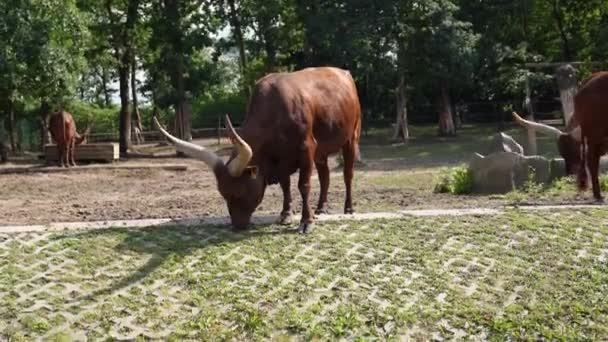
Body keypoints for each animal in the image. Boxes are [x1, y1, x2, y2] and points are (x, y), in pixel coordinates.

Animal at [154, 67, 360, 232]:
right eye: (223, 195)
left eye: (239, 192)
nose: (237, 226)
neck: (275, 113)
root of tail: (344, 73)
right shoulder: (281, 157)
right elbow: (286, 185)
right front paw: (286, 214)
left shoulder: (306, 149)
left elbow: (304, 185)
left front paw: (306, 222)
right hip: (322, 152)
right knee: (325, 176)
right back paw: (322, 207)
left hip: (351, 139)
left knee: (348, 174)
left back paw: (349, 208)